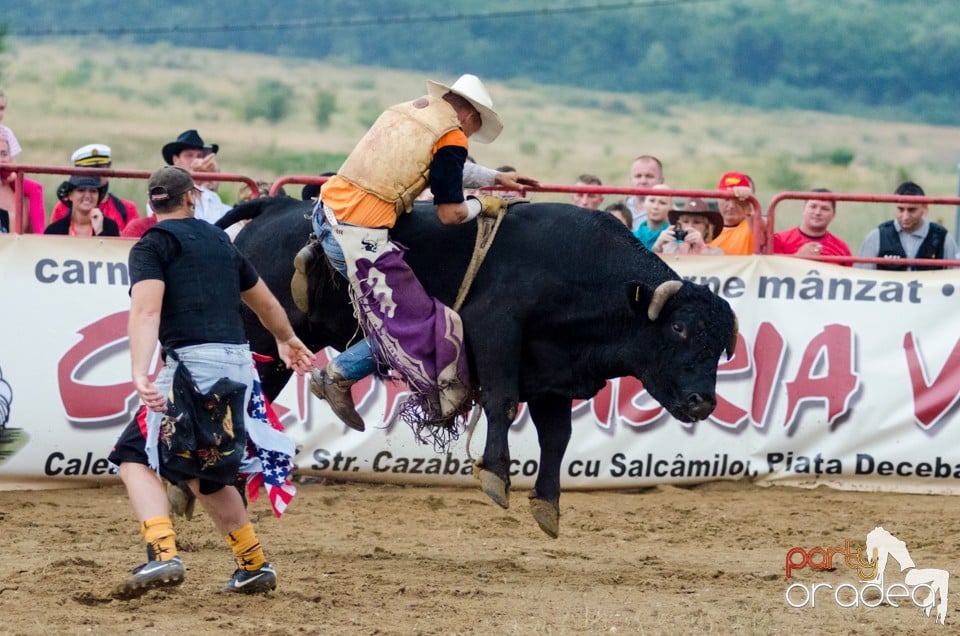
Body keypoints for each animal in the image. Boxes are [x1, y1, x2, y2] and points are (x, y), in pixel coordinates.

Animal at [219, 198, 744, 536]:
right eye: (679, 329)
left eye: (722, 347)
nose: (703, 402)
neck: (582, 270)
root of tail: (277, 205)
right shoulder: (495, 330)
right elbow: (502, 402)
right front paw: (495, 473)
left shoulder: (554, 374)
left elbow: (557, 436)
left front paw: (547, 504)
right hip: (260, 338)